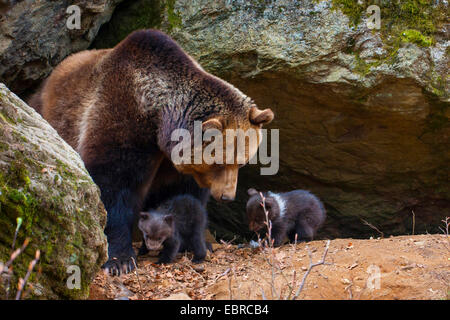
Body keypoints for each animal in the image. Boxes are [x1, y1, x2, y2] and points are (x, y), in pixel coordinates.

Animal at [29, 29, 274, 276]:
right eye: (220, 162)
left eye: (241, 162)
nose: (227, 196)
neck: (158, 118)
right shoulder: (122, 118)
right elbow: (113, 185)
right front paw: (120, 260)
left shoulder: (174, 165)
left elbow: (182, 198)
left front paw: (193, 241)